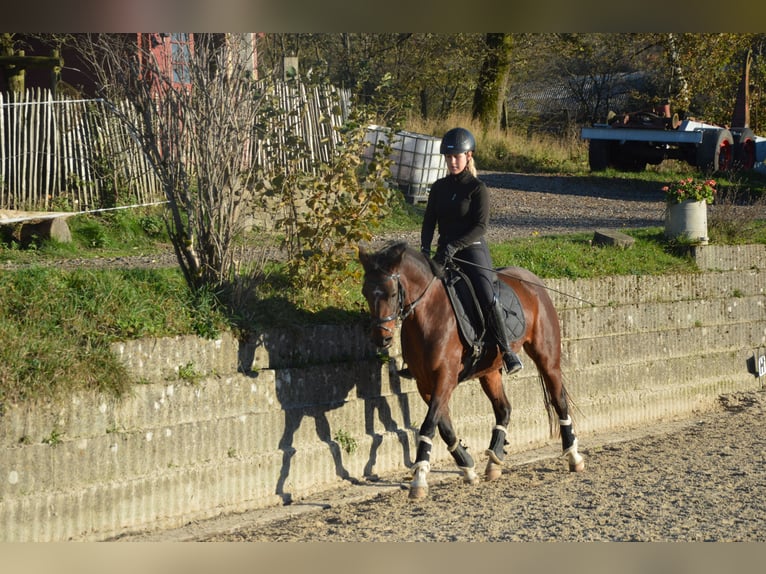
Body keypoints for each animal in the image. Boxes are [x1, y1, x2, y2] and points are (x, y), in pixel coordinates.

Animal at [360, 241, 588, 502]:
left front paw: (419, 479)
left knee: (559, 400)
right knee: (504, 409)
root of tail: (532, 279)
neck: (428, 315)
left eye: (391, 293)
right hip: (489, 371)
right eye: (365, 292)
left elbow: (429, 425)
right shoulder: (425, 384)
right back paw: (494, 461)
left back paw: (574, 456)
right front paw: (468, 468)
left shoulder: (445, 378)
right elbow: (444, 427)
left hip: (546, 358)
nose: (382, 338)